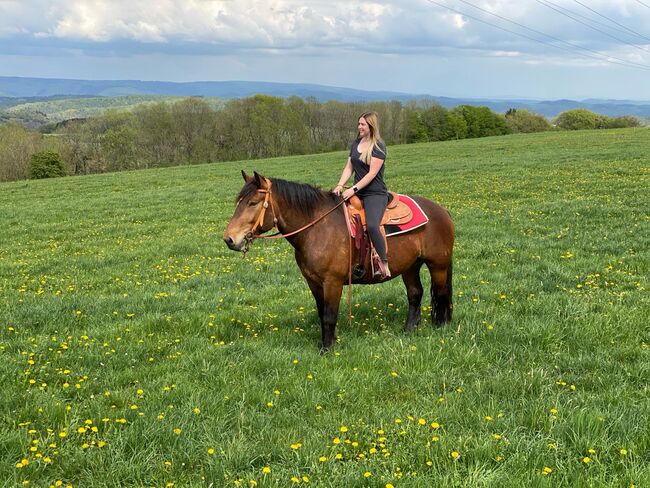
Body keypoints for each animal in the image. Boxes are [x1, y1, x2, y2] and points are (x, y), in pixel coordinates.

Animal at [225, 172, 454, 350]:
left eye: (253, 203)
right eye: (238, 202)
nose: (229, 239)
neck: (317, 227)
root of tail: (441, 211)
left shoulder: (332, 282)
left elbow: (329, 314)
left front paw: (326, 349)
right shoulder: (313, 282)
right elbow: (321, 313)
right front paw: (328, 342)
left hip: (438, 265)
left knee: (441, 294)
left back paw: (441, 326)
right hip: (410, 266)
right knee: (415, 294)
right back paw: (409, 329)